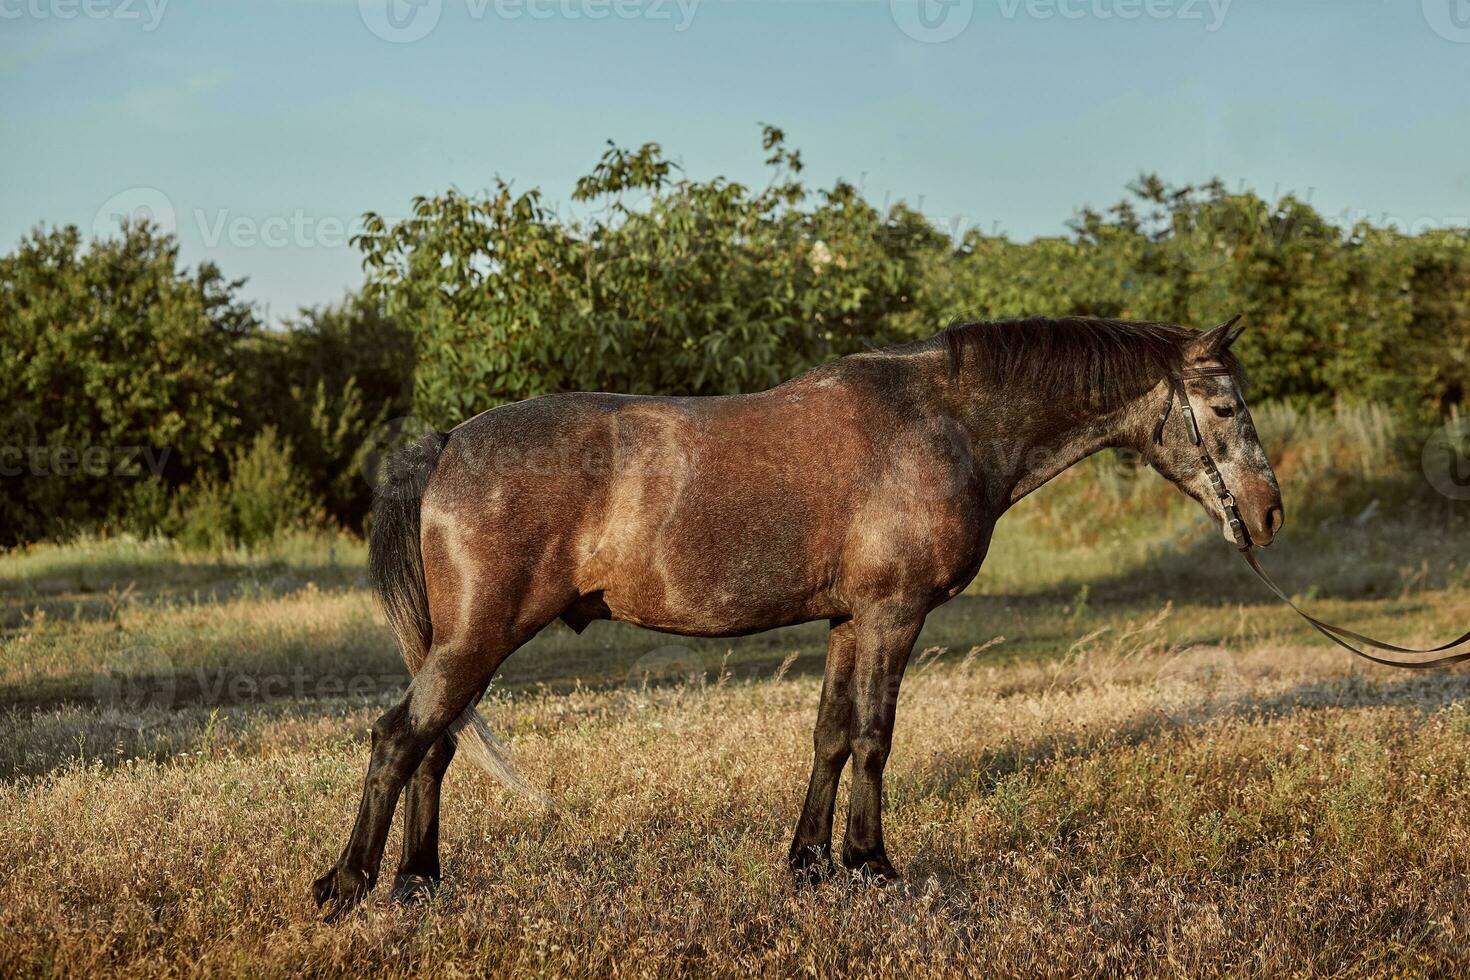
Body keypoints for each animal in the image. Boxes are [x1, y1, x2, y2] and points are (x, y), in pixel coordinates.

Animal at [313, 315, 1287, 922]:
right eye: (1226, 406)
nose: (1269, 511)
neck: (942, 421)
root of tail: (448, 443)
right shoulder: (894, 617)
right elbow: (874, 737)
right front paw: (872, 863)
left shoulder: (849, 622)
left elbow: (828, 734)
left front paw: (810, 863)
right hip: (479, 639)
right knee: (398, 738)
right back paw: (348, 883)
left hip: (464, 643)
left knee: (433, 747)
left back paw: (417, 882)